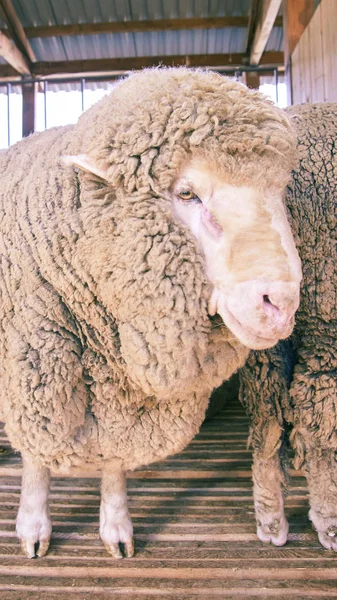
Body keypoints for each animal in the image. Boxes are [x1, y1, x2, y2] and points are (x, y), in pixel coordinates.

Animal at [0, 68, 300, 560]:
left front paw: (116, 526)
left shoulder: (119, 380)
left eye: (278, 193)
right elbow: (38, 455)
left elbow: (116, 455)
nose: (280, 303)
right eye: (187, 193)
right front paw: (33, 525)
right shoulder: (34, 358)